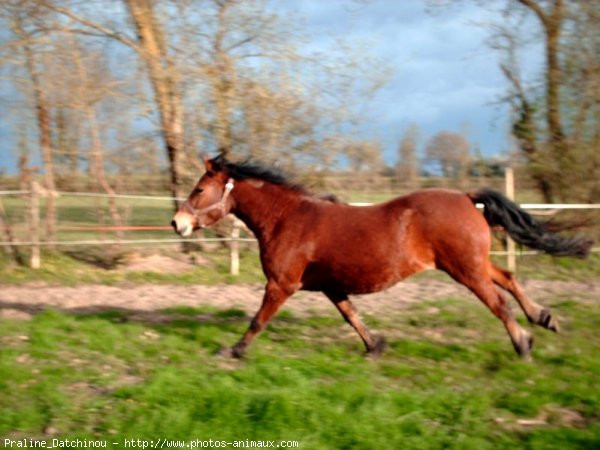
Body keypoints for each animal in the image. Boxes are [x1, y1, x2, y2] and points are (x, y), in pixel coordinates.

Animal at [171, 156, 592, 360]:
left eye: (199, 189)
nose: (177, 223)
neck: (287, 219)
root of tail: (465, 196)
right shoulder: (331, 287)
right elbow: (353, 317)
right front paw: (375, 347)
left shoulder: (281, 285)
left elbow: (258, 320)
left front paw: (234, 351)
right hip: (474, 263)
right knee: (508, 278)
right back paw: (544, 318)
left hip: (465, 270)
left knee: (499, 302)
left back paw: (523, 344)